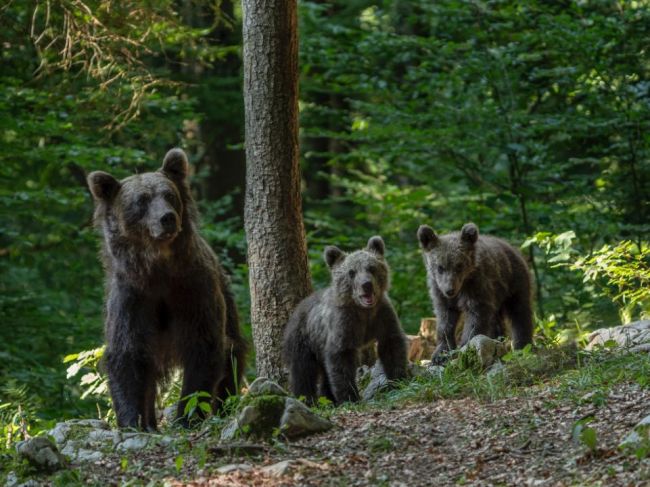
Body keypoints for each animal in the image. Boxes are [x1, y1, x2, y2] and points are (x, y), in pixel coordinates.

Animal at [86, 149, 246, 430]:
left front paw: (187, 417)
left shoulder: (192, 290)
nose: (167, 218)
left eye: (169, 195)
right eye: (141, 201)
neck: (158, 270)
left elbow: (204, 346)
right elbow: (128, 355)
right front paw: (132, 421)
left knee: (233, 355)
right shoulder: (133, 297)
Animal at [282, 236, 404, 404]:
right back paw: (307, 399)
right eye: (351, 272)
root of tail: (297, 308)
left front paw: (399, 379)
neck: (363, 311)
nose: (366, 285)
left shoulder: (382, 316)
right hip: (303, 339)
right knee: (303, 371)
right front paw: (350, 397)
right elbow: (341, 359)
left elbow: (392, 345)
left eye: (371, 267)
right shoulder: (344, 325)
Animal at [416, 223, 532, 364]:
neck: (462, 286)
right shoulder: (439, 291)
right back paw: (497, 339)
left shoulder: (476, 286)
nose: (450, 290)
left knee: (520, 313)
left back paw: (522, 346)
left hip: (514, 282)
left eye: (459, 265)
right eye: (440, 267)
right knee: (495, 318)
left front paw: (464, 347)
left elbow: (475, 316)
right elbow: (445, 319)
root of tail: (511, 247)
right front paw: (441, 353)